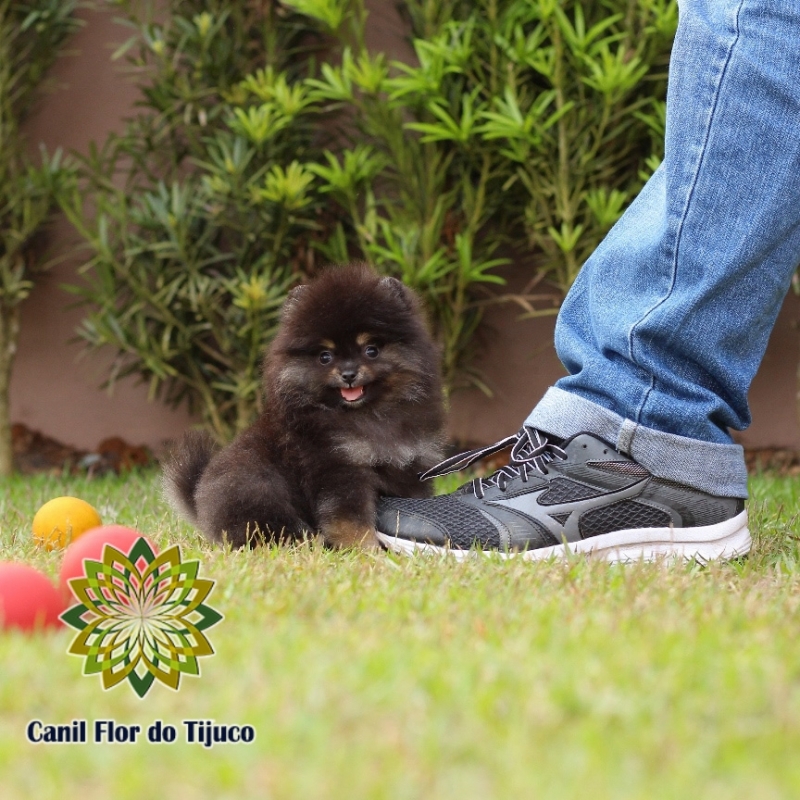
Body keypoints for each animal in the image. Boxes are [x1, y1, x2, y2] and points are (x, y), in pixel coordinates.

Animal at [162, 262, 444, 552]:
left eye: (371, 350)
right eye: (325, 356)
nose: (349, 373)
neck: (369, 415)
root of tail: (200, 501)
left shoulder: (410, 465)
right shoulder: (338, 468)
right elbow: (350, 520)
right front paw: (365, 551)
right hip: (258, 489)